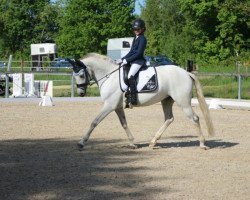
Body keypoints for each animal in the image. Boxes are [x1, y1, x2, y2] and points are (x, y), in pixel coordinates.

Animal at [69, 53, 215, 150]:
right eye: (74, 76)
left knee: (194, 118)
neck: (109, 76)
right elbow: (124, 124)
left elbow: (94, 122)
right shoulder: (117, 107)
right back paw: (153, 142)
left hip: (183, 102)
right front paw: (132, 143)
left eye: (81, 75)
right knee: (169, 118)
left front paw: (81, 142)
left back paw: (202, 144)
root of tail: (186, 73)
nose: (81, 93)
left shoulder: (109, 106)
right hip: (167, 101)